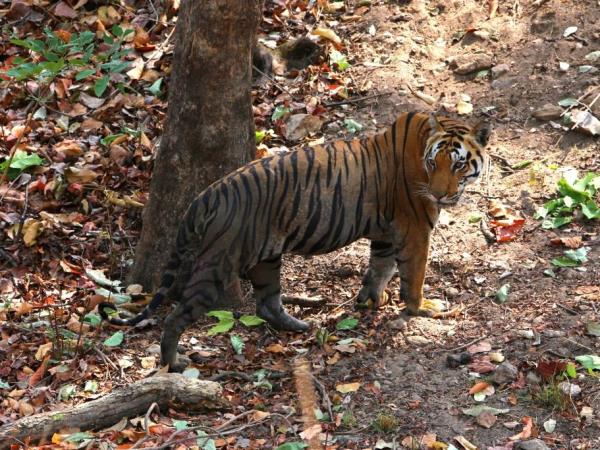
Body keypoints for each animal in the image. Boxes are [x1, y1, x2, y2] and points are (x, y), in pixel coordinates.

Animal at [101, 113, 490, 372]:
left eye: (457, 165)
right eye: (434, 163)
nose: (439, 195)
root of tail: (208, 193)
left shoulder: (385, 232)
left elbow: (379, 267)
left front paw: (369, 301)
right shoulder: (415, 229)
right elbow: (414, 275)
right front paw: (422, 308)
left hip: (266, 256)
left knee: (266, 303)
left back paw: (299, 326)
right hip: (219, 263)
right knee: (177, 314)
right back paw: (174, 362)